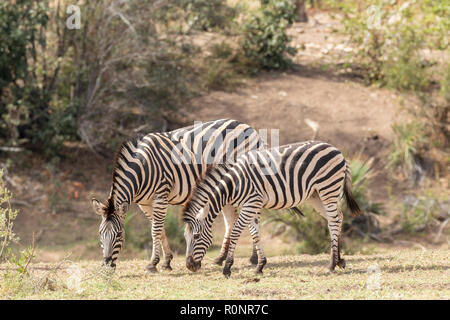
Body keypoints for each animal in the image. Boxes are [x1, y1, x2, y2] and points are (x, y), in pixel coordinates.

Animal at [92, 119, 266, 272]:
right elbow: (159, 229)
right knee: (231, 221)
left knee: (251, 217)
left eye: (119, 234)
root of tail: (248, 127)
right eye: (100, 233)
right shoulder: (145, 204)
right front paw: (166, 261)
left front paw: (153, 264)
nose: (106, 265)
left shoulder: (161, 196)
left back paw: (254, 258)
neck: (142, 168)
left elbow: (155, 230)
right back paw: (220, 258)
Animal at [181, 141, 360, 276]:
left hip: (328, 189)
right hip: (315, 195)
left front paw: (227, 267)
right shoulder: (251, 205)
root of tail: (338, 151)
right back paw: (339, 260)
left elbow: (237, 232)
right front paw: (260, 266)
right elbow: (255, 234)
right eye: (185, 237)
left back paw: (332, 264)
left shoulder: (251, 203)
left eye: (196, 236)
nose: (190, 266)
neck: (234, 183)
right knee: (337, 218)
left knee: (334, 220)